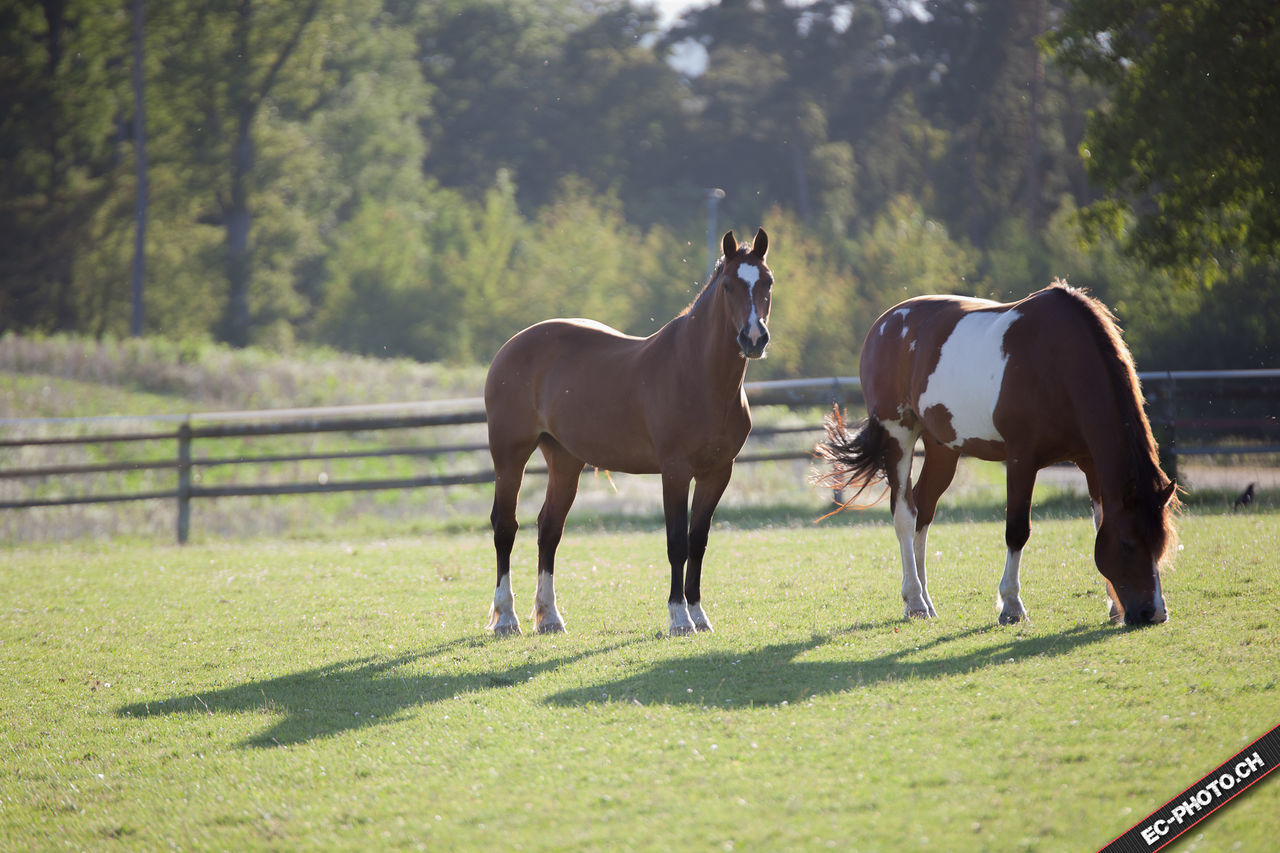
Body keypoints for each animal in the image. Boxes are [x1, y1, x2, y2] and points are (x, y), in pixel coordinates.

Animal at [483, 225, 773, 630]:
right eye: (729, 285)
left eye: (768, 282)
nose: (754, 338)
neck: (697, 373)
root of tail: (510, 347)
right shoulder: (675, 471)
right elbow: (676, 542)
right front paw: (679, 617)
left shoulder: (718, 472)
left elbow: (698, 541)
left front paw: (699, 614)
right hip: (510, 455)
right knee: (505, 526)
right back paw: (506, 617)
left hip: (565, 459)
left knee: (549, 529)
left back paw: (550, 616)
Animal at [819, 281, 1177, 622]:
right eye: (1128, 544)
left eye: (1160, 542)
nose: (1153, 613)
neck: (1059, 362)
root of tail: (882, 325)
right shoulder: (1021, 459)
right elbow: (1017, 530)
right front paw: (1012, 606)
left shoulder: (1090, 461)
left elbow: (1099, 520)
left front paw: (1113, 606)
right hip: (899, 436)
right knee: (905, 514)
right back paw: (915, 601)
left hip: (943, 449)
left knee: (924, 508)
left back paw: (927, 601)